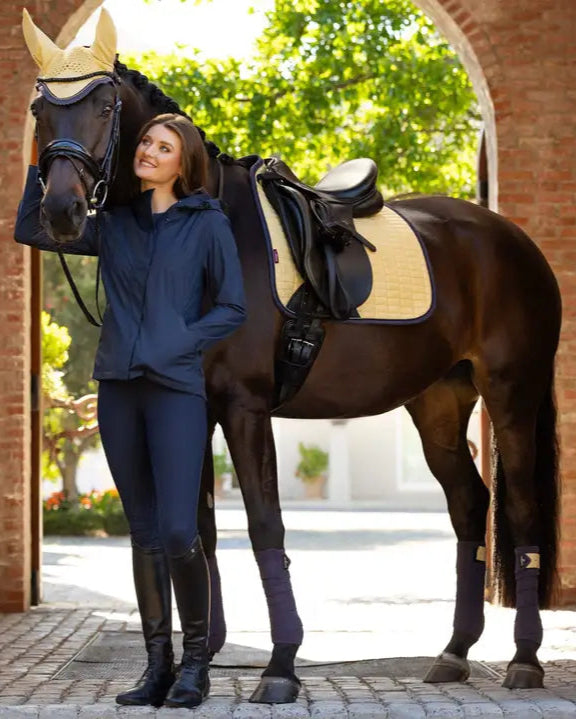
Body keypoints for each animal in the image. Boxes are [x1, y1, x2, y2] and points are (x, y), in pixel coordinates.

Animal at [22, 18, 562, 702]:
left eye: (104, 105)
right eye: (40, 109)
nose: (60, 213)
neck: (214, 222)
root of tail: (513, 240)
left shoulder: (246, 408)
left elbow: (264, 528)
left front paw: (280, 666)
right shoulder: (195, 410)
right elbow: (198, 527)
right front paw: (201, 659)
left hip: (512, 394)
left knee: (519, 509)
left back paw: (525, 660)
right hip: (438, 403)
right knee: (470, 505)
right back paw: (454, 652)